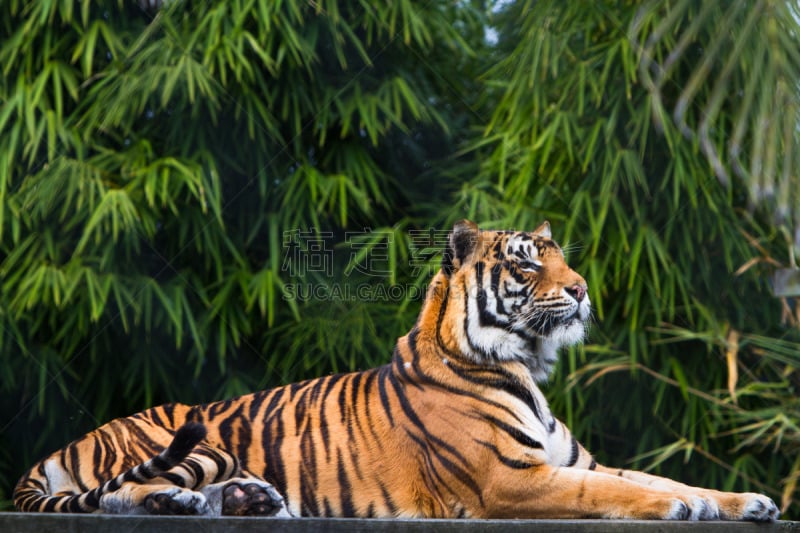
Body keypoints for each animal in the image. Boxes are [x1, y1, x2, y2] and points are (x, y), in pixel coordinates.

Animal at [14, 219, 780, 520]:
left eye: (562, 258)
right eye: (527, 263)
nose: (585, 288)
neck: (524, 369)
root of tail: (60, 448)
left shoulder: (573, 459)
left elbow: (656, 474)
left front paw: (745, 500)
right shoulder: (511, 478)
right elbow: (614, 493)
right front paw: (677, 507)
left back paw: (252, 500)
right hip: (194, 442)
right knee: (121, 493)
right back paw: (183, 503)